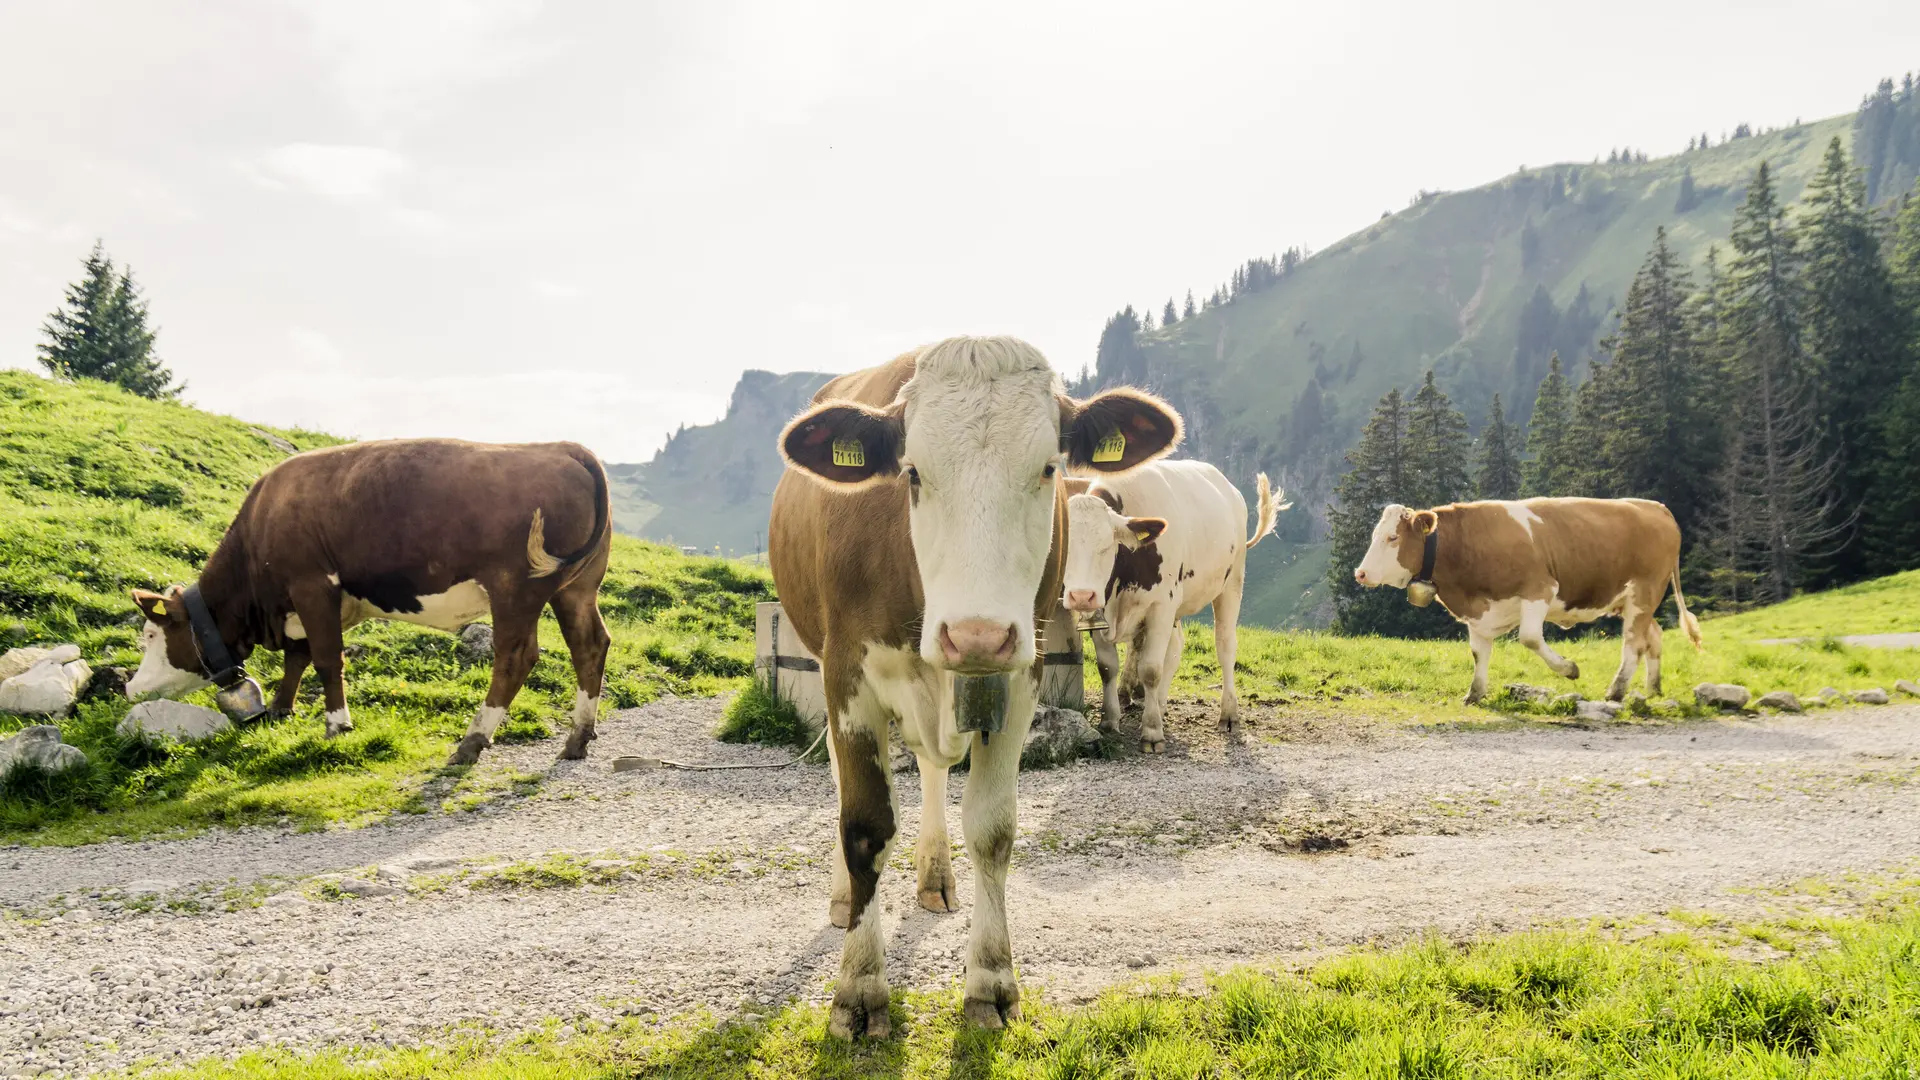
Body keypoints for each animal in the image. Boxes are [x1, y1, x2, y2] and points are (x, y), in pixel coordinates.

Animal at [125, 438, 612, 767]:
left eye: (149, 634)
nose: (130, 687)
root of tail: (562, 447)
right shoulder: (310, 603)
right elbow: (298, 657)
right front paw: (281, 709)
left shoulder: (312, 585)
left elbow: (325, 659)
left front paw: (337, 724)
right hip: (576, 588)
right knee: (590, 644)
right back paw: (578, 737)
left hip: (515, 587)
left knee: (515, 656)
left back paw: (471, 741)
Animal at [769, 336, 1181, 1039]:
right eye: (911, 473)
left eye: (1048, 469)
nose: (977, 635)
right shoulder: (847, 673)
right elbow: (864, 826)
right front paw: (859, 986)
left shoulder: (1020, 675)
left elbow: (992, 829)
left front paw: (990, 980)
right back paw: (842, 897)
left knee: (934, 770)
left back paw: (935, 875)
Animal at [1059, 462, 1286, 751]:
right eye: (1063, 545)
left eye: (1107, 546)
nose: (1081, 595)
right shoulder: (1102, 612)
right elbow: (1107, 667)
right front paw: (1110, 721)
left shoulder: (1161, 605)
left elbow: (1150, 670)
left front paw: (1152, 732)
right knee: (1176, 647)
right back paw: (1160, 704)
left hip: (1231, 583)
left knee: (1225, 647)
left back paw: (1228, 714)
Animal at [1351, 497, 1702, 705]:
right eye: (1374, 536)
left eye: (1392, 538)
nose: (1361, 573)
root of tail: (1655, 506)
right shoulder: (1479, 612)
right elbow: (1479, 653)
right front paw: (1474, 694)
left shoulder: (1540, 589)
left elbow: (1530, 638)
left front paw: (1569, 669)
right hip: (1632, 601)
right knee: (1652, 636)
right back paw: (1653, 688)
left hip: (1645, 591)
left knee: (1632, 643)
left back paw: (1616, 690)